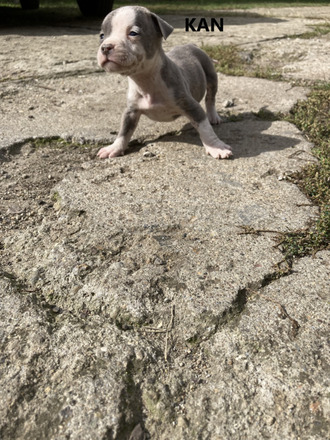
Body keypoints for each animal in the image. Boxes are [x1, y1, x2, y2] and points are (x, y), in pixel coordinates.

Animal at [96, 5, 232, 160]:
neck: (146, 80)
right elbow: (124, 132)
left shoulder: (191, 105)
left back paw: (213, 116)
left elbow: (205, 128)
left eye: (133, 33)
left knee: (210, 98)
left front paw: (217, 147)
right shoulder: (130, 111)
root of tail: (191, 44)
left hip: (210, 75)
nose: (106, 47)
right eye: (101, 36)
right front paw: (114, 148)